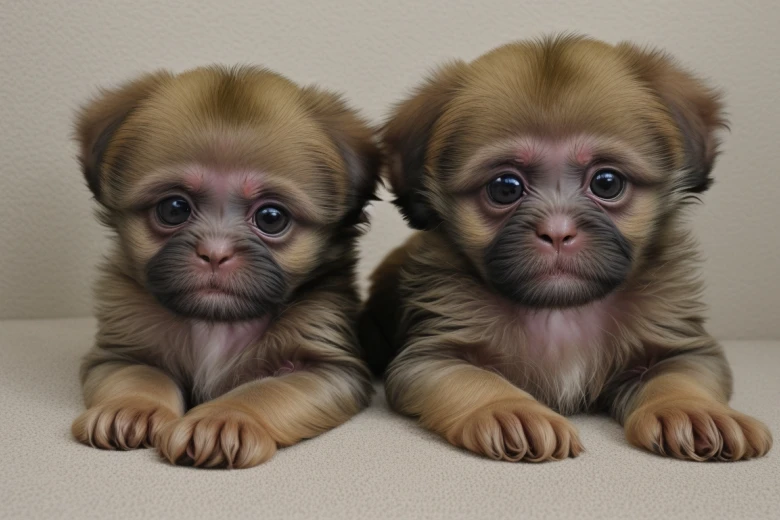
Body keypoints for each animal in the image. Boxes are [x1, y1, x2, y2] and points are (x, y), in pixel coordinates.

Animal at [71, 65, 381, 469]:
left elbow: (264, 391)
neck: (216, 323)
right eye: (174, 208)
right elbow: (141, 375)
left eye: (271, 217)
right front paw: (130, 407)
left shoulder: (326, 367)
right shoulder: (120, 352)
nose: (215, 253)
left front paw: (223, 419)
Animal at [360, 35, 772, 462]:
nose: (557, 232)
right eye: (505, 187)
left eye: (607, 182)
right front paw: (510, 410)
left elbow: (678, 378)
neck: (561, 312)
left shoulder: (681, 346)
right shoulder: (433, 357)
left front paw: (694, 410)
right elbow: (473, 380)